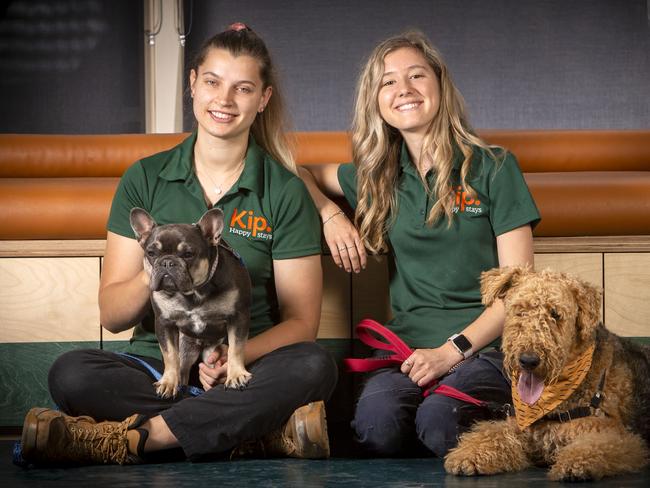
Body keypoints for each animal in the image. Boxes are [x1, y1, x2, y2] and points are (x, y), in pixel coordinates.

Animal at [442, 264, 648, 478]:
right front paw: (468, 455)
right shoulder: (521, 426)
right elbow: (493, 433)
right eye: (520, 310)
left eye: (555, 314)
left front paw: (575, 463)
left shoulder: (615, 434)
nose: (528, 360)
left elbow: (594, 446)